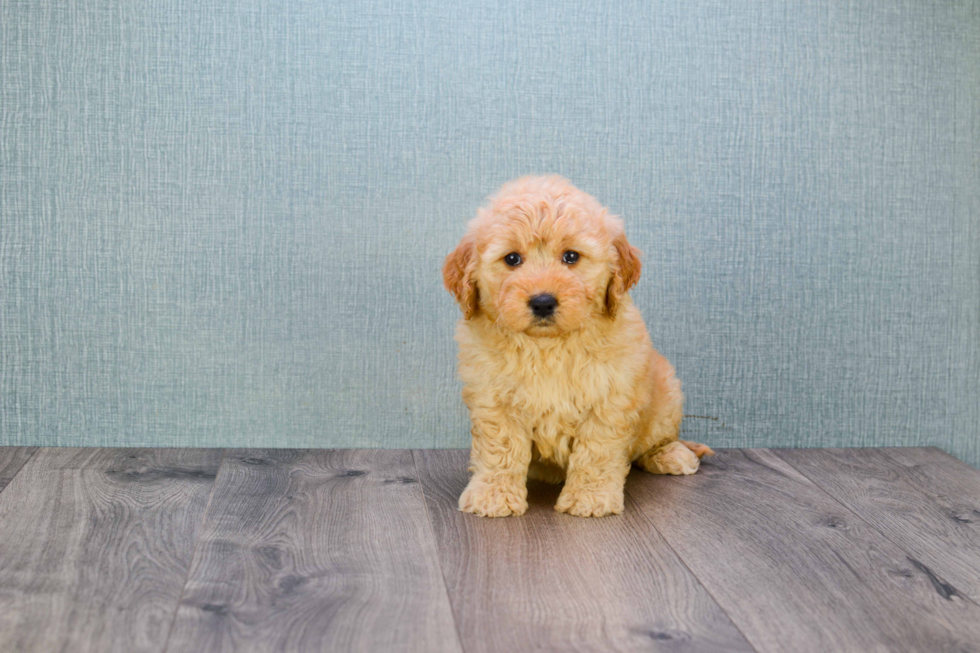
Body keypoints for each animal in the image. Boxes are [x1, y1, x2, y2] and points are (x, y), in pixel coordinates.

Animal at [444, 176, 712, 516]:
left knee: (655, 441)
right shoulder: (493, 398)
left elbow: (597, 450)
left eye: (571, 257)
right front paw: (493, 495)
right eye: (512, 259)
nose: (543, 301)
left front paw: (590, 497)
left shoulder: (610, 397)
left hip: (667, 394)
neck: (548, 346)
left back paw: (670, 454)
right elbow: (500, 448)